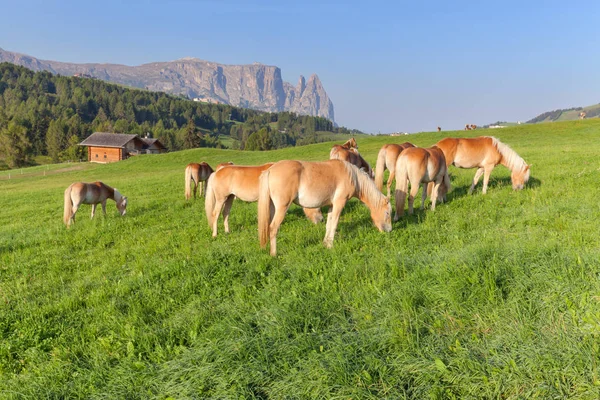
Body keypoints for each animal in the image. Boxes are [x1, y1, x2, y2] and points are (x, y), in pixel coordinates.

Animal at [258, 159, 394, 256]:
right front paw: (330, 246)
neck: (352, 176)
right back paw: (274, 254)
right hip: (282, 208)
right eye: (387, 213)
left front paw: (325, 243)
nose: (389, 230)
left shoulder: (331, 206)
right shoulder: (339, 203)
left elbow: (329, 224)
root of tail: (270, 170)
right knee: (273, 228)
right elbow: (334, 224)